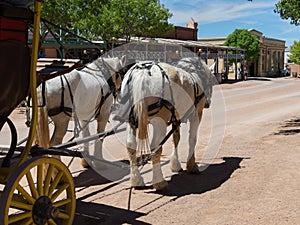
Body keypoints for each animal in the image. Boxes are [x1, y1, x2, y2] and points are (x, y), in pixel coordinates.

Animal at [118, 57, 214, 190]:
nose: (208, 103)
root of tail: (142, 73)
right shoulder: (196, 115)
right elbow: (192, 139)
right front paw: (192, 165)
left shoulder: (176, 118)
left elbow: (176, 139)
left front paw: (176, 164)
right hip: (160, 122)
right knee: (155, 148)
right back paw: (159, 181)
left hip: (131, 120)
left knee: (131, 146)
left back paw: (136, 180)